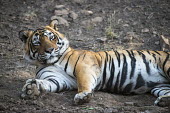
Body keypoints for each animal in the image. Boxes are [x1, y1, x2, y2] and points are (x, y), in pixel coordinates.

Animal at [18, 21, 170, 106]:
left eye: (51, 38)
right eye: (37, 43)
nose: (50, 50)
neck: (51, 62)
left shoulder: (84, 67)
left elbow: (83, 83)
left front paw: (83, 96)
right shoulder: (57, 79)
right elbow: (47, 84)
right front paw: (31, 89)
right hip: (160, 87)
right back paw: (163, 101)